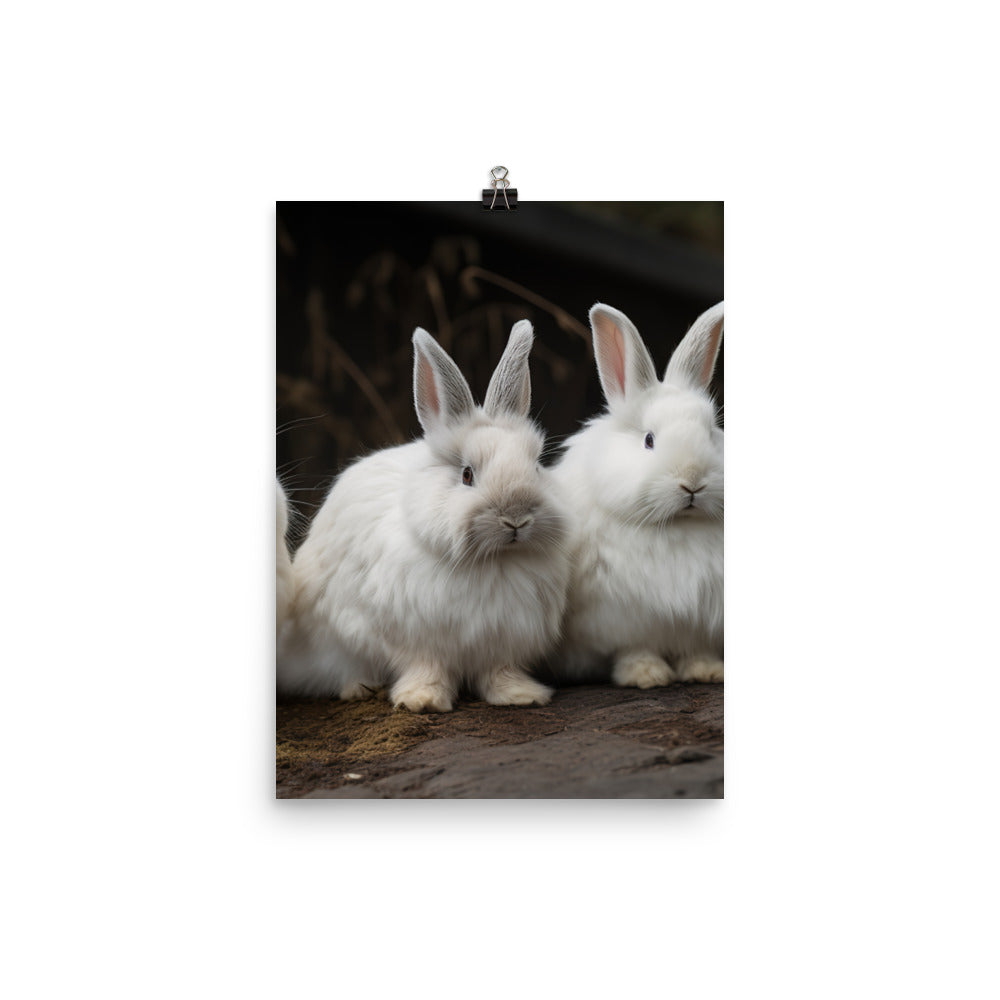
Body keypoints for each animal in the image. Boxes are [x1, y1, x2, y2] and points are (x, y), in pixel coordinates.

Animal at [276, 320, 572, 713]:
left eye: (536, 466)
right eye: (467, 475)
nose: (516, 519)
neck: (492, 562)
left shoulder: (504, 640)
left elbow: (499, 671)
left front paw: (520, 695)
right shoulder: (415, 638)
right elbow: (425, 666)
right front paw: (422, 700)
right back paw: (359, 688)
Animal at [549, 301, 724, 689]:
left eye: (711, 434)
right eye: (649, 440)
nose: (692, 482)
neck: (678, 526)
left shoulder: (700, 622)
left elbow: (697, 649)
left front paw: (706, 671)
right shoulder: (621, 620)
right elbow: (634, 648)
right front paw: (646, 675)